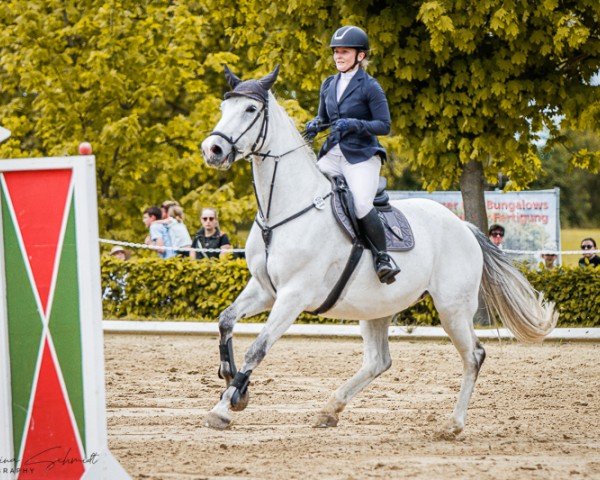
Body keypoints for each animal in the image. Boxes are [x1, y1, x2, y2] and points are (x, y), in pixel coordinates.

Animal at [202, 65, 556, 436]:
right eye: (224, 107)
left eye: (250, 109)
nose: (212, 149)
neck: (285, 209)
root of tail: (465, 228)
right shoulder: (264, 290)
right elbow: (225, 321)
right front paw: (233, 386)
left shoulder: (293, 295)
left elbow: (258, 348)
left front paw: (224, 407)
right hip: (377, 306)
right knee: (379, 361)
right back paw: (329, 409)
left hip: (452, 308)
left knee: (473, 355)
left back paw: (453, 424)